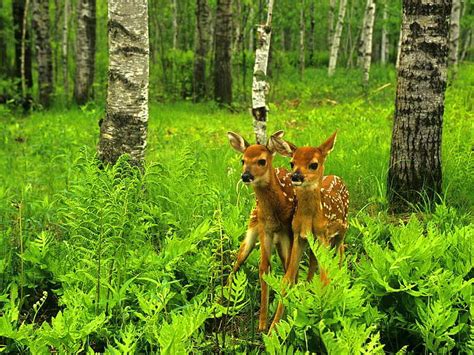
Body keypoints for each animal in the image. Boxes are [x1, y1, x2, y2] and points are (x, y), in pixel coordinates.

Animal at [226, 131, 296, 334]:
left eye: (262, 161)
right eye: (242, 160)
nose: (246, 176)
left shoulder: (287, 231)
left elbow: (287, 272)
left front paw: (278, 322)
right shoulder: (265, 229)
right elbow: (264, 268)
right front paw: (262, 324)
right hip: (252, 225)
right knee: (238, 260)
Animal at [268, 131, 350, 334]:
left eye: (313, 164)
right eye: (292, 162)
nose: (296, 176)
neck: (309, 219)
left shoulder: (323, 235)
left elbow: (325, 277)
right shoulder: (299, 237)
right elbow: (287, 279)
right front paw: (273, 328)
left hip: (343, 228)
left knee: (340, 253)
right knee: (315, 263)